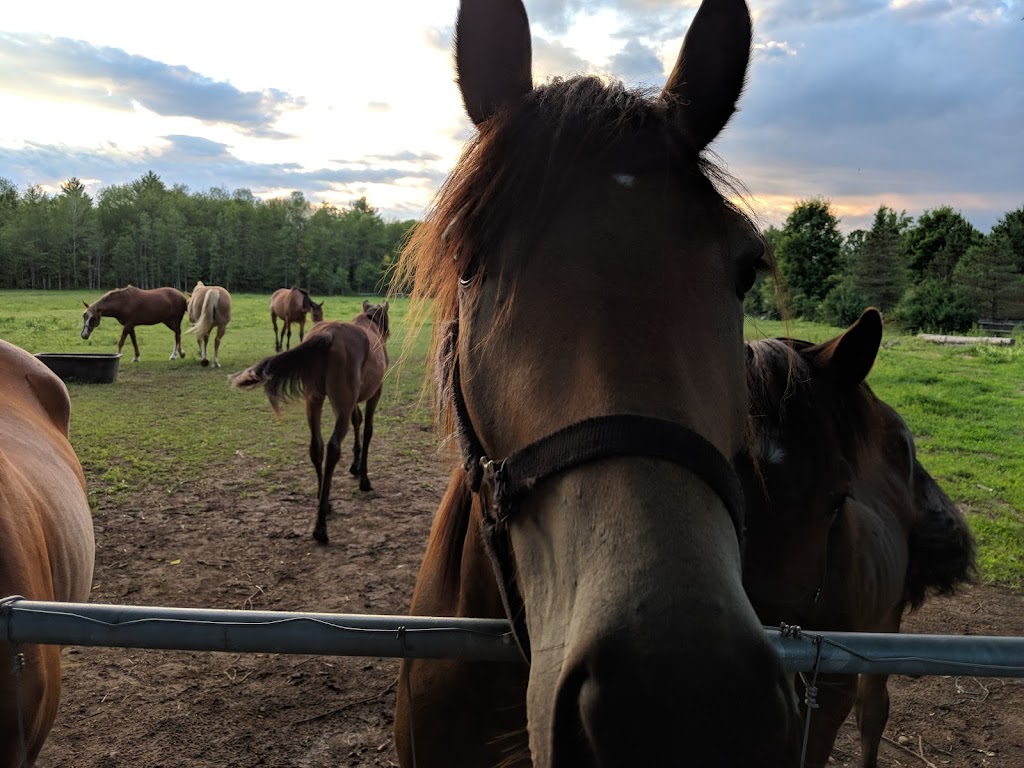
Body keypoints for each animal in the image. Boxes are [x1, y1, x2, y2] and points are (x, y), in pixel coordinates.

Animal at [233, 301, 391, 548]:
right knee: (333, 448)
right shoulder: (374, 394)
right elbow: (367, 431)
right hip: (340, 404)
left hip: (314, 400)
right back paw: (321, 526)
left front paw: (355, 466)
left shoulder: (352, 402)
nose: (389, 333)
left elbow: (357, 421)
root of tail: (328, 335)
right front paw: (364, 477)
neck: (369, 323)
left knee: (316, 448)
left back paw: (323, 503)